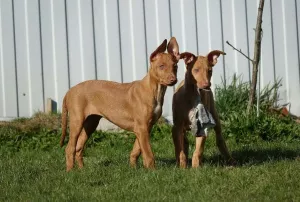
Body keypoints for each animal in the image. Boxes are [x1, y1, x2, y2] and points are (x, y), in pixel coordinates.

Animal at [59, 37, 179, 170]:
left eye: (175, 66)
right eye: (161, 66)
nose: (173, 80)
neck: (155, 90)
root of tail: (69, 91)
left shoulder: (146, 127)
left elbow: (136, 151)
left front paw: (134, 168)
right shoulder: (141, 127)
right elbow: (148, 154)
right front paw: (152, 171)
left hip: (90, 123)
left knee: (78, 148)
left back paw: (81, 170)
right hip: (77, 121)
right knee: (70, 148)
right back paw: (70, 171)